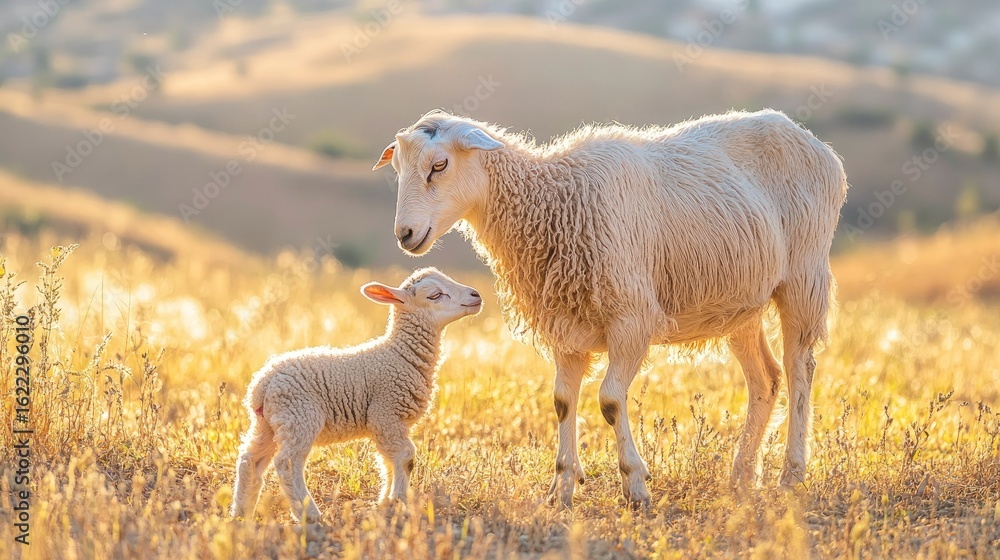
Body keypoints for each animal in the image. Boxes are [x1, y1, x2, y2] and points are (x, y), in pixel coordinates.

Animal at [230, 267, 483, 521]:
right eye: (435, 295)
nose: (476, 295)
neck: (402, 354)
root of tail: (263, 384)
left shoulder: (388, 425)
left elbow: (387, 461)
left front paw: (385, 502)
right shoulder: (385, 414)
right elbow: (406, 457)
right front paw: (400, 501)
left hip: (268, 423)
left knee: (250, 459)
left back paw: (242, 513)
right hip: (300, 416)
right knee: (287, 463)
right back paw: (309, 514)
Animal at [373, 109, 848, 509]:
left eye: (439, 165)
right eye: (398, 169)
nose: (405, 234)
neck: (555, 200)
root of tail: (811, 140)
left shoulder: (633, 320)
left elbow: (610, 401)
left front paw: (635, 484)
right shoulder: (565, 326)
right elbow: (563, 402)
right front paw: (561, 488)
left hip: (803, 276)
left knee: (799, 368)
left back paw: (791, 475)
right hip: (740, 302)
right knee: (766, 379)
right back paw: (742, 476)